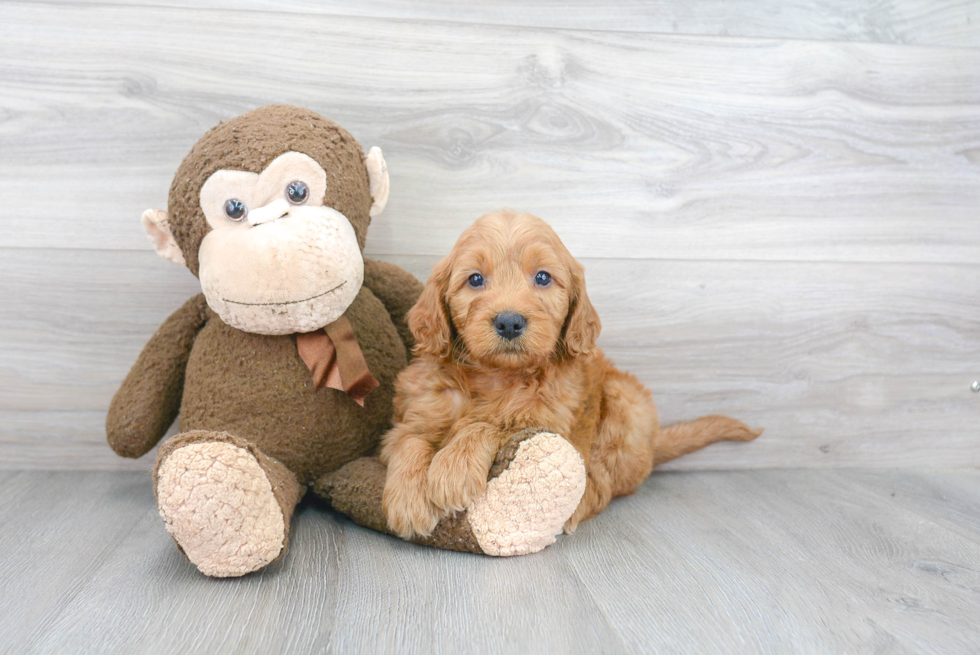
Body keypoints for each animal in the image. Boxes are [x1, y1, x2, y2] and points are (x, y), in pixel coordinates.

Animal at [378, 209, 760, 540]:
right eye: (474, 279)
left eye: (542, 277)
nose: (509, 322)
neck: (496, 376)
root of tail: (653, 443)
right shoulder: (415, 411)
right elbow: (410, 440)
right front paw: (408, 502)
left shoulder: (546, 420)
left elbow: (492, 422)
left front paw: (453, 467)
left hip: (625, 401)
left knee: (604, 482)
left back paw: (577, 507)